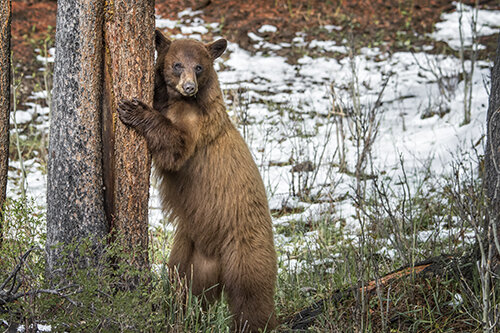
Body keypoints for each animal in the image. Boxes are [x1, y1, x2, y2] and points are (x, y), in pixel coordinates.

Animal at [116, 29, 278, 332]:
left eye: (199, 67)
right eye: (177, 64)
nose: (189, 87)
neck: (180, 100)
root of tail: (216, 259)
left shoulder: (194, 122)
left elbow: (175, 149)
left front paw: (134, 110)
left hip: (245, 249)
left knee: (251, 294)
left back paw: (255, 324)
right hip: (189, 253)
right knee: (181, 285)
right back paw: (179, 314)